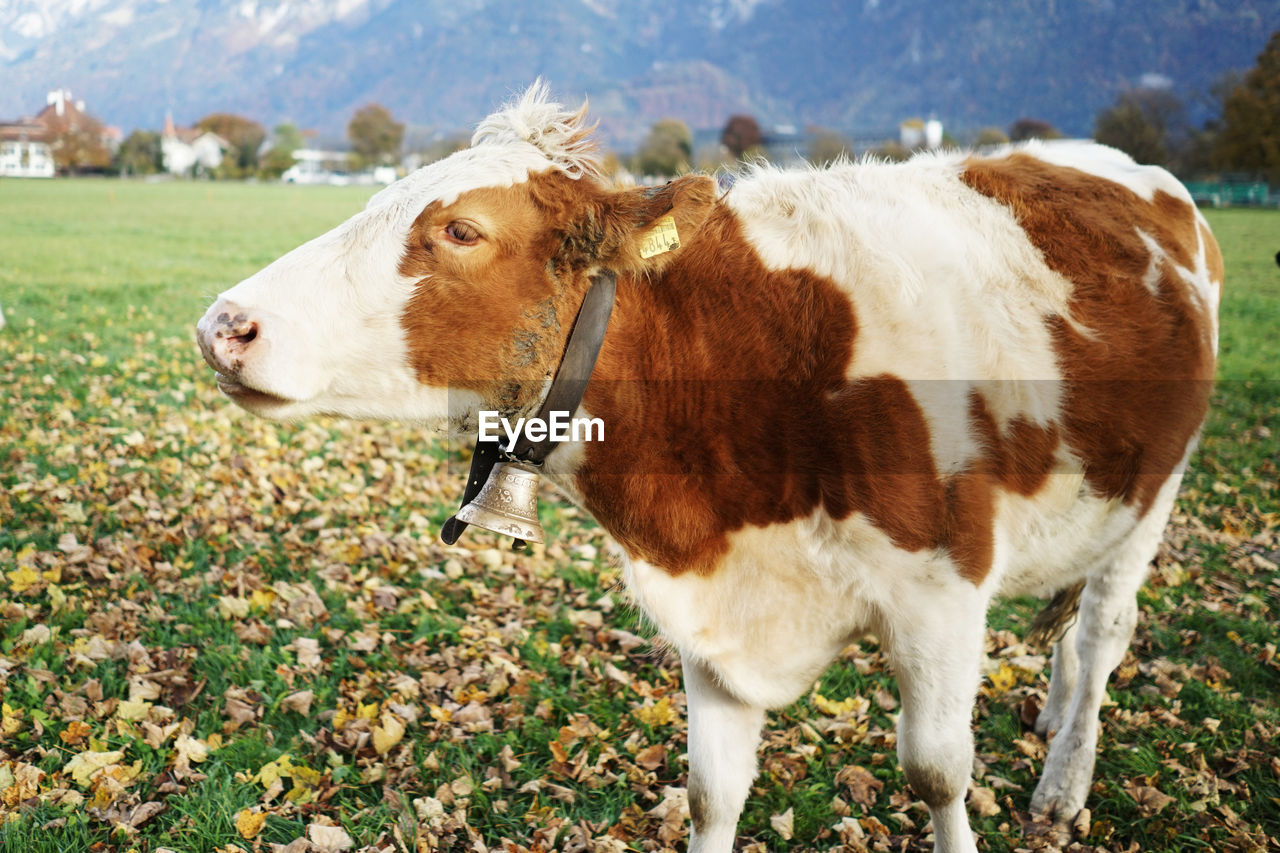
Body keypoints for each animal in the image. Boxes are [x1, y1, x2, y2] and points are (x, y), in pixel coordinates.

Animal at [197, 81, 1218, 850]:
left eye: (461, 231)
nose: (223, 324)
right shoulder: (713, 613)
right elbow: (713, 791)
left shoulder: (942, 593)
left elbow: (937, 771)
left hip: (1155, 494)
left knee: (1103, 632)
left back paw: (1064, 780)